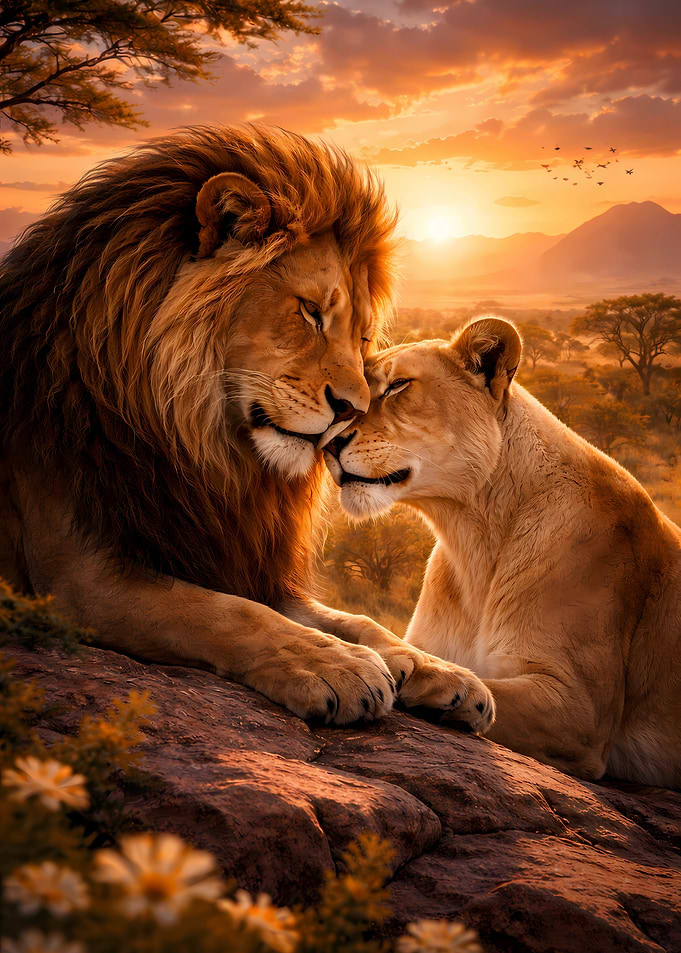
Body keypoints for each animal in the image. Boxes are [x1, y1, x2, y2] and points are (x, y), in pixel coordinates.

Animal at [0, 124, 493, 732]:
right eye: (310, 311)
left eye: (361, 338)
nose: (352, 409)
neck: (201, 444)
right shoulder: (73, 577)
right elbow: (228, 613)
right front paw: (336, 666)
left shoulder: (239, 554)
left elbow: (354, 620)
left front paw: (434, 669)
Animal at [324, 317, 681, 786]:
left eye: (398, 385)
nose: (327, 443)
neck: (471, 536)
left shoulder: (579, 710)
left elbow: (489, 689)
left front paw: (435, 682)